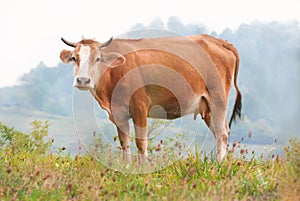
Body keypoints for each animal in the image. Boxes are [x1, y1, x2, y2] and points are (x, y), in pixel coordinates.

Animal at [59, 34, 243, 162]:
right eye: (74, 58)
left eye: (97, 59)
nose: (83, 80)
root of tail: (218, 41)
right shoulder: (118, 113)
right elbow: (124, 142)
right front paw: (126, 167)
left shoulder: (140, 107)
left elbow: (141, 143)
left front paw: (144, 168)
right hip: (207, 106)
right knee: (219, 132)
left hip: (218, 98)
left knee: (222, 133)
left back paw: (219, 165)